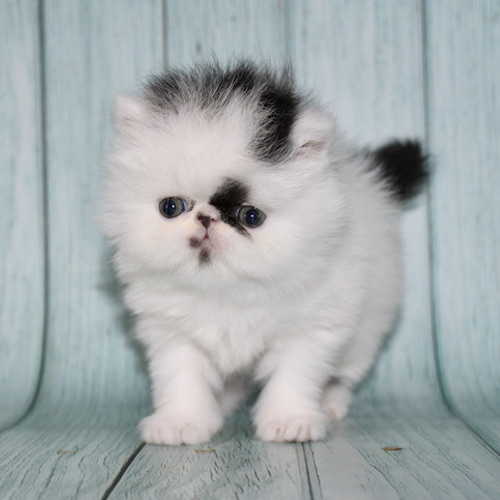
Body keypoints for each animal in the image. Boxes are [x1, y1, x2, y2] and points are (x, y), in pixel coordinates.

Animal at [100, 60, 427, 445]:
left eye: (251, 216)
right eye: (171, 207)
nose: (206, 219)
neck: (226, 289)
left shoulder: (311, 327)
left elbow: (294, 375)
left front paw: (290, 421)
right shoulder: (171, 330)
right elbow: (182, 378)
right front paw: (182, 423)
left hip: (365, 330)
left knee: (343, 376)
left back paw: (330, 403)